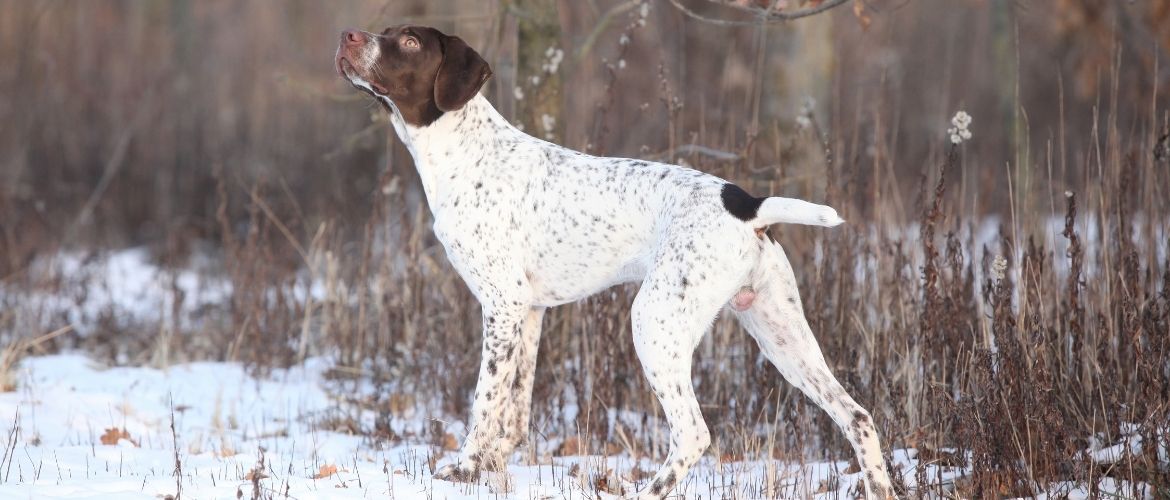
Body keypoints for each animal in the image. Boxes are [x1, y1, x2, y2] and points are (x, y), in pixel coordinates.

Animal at [339, 24, 893, 500]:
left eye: (409, 41)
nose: (348, 36)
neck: (465, 153)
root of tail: (747, 204)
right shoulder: (528, 313)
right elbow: (515, 408)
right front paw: (495, 466)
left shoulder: (500, 306)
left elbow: (485, 404)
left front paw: (466, 469)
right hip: (782, 335)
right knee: (858, 416)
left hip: (655, 322)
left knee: (693, 433)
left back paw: (647, 490)